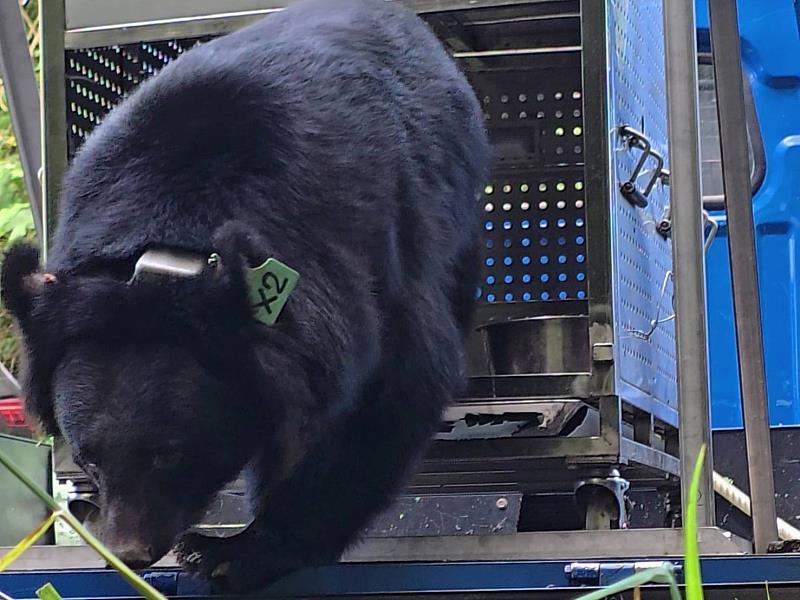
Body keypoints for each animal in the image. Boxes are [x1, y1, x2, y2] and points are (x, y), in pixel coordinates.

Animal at [1, 0, 489, 591]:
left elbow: (392, 389)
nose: (130, 553)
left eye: (170, 454)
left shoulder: (355, 256)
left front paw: (233, 551)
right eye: (88, 457)